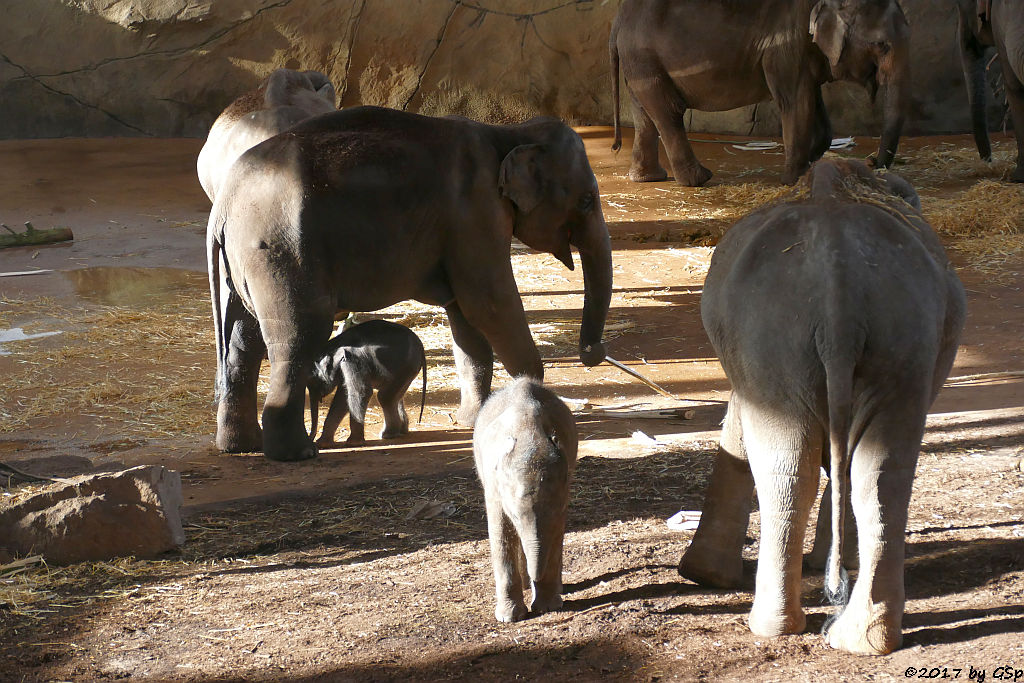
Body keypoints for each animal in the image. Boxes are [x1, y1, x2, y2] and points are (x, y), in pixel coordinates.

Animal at [203, 107, 610, 462]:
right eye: (587, 200)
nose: (593, 353)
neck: (508, 133)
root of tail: (221, 207)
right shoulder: (476, 212)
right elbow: (488, 303)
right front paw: (532, 399)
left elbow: (465, 321)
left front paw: (473, 420)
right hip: (281, 252)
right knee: (297, 337)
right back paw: (297, 454)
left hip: (242, 261)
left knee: (242, 339)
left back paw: (241, 447)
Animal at [471, 378, 577, 626]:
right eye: (516, 516)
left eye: (557, 511)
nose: (535, 577)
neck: (529, 433)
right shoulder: (494, 487)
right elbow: (501, 531)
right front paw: (508, 618)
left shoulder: (563, 492)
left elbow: (556, 533)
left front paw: (547, 607)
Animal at [610, 0, 909, 185]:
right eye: (881, 45)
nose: (871, 162)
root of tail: (618, 19)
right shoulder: (785, 45)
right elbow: (796, 102)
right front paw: (794, 180)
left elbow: (814, 101)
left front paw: (811, 166)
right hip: (645, 58)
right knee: (668, 112)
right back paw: (699, 180)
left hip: (639, 60)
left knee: (645, 114)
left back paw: (648, 178)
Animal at [679, 157, 966, 655]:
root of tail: (839, 296)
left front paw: (705, 575)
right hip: (896, 340)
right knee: (877, 470)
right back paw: (861, 640)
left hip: (775, 338)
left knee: (789, 465)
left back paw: (778, 626)